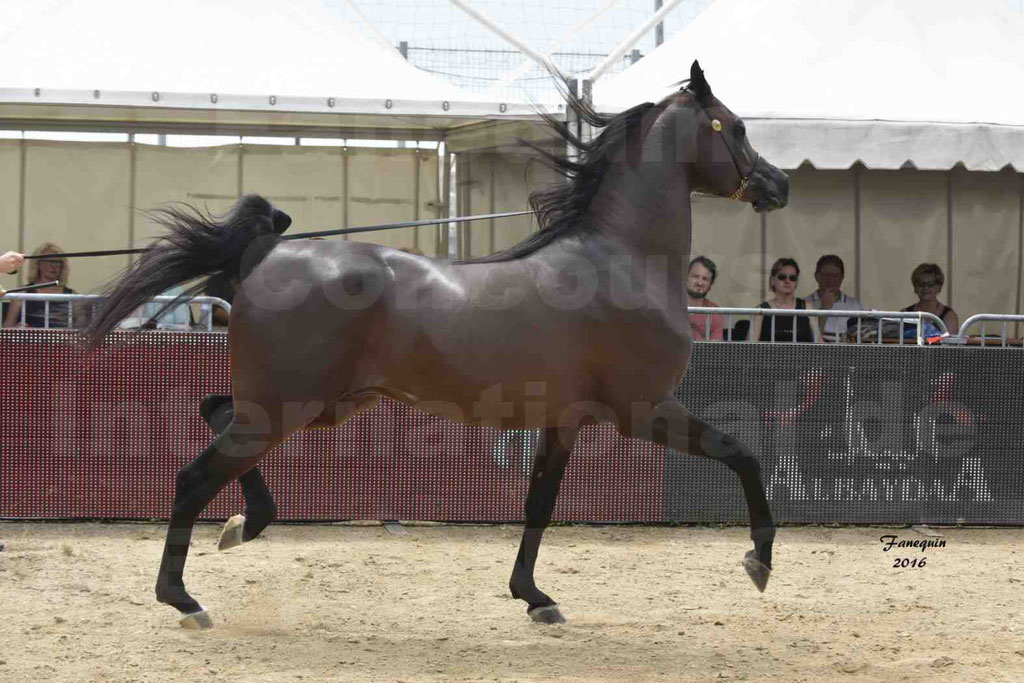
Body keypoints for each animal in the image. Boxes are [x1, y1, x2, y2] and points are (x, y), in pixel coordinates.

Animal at [88, 60, 790, 630]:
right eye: (736, 127)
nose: (779, 185)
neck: (619, 262)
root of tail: (264, 252)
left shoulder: (564, 421)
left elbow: (539, 505)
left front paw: (534, 598)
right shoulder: (642, 411)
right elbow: (744, 454)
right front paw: (758, 561)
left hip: (311, 404)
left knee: (214, 412)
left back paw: (243, 526)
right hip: (288, 407)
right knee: (193, 476)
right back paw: (185, 598)